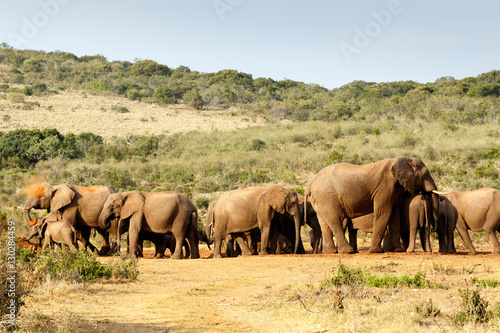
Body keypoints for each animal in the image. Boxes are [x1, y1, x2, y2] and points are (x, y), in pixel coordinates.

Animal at [302, 157, 440, 253]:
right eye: (426, 174)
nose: (434, 229)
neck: (403, 159)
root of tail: (310, 183)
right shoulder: (385, 187)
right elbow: (384, 212)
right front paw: (376, 251)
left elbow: (394, 215)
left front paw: (396, 250)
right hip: (327, 197)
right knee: (335, 220)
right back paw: (348, 252)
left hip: (320, 199)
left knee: (324, 223)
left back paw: (331, 252)